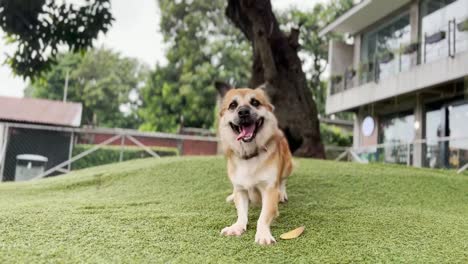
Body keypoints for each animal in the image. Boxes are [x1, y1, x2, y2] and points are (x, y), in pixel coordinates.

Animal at [216, 81, 292, 244]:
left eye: (255, 103)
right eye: (233, 105)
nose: (243, 112)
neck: (249, 155)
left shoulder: (269, 190)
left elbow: (263, 217)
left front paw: (263, 234)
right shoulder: (241, 189)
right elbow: (241, 213)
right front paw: (237, 227)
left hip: (288, 166)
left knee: (283, 180)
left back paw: (282, 193)